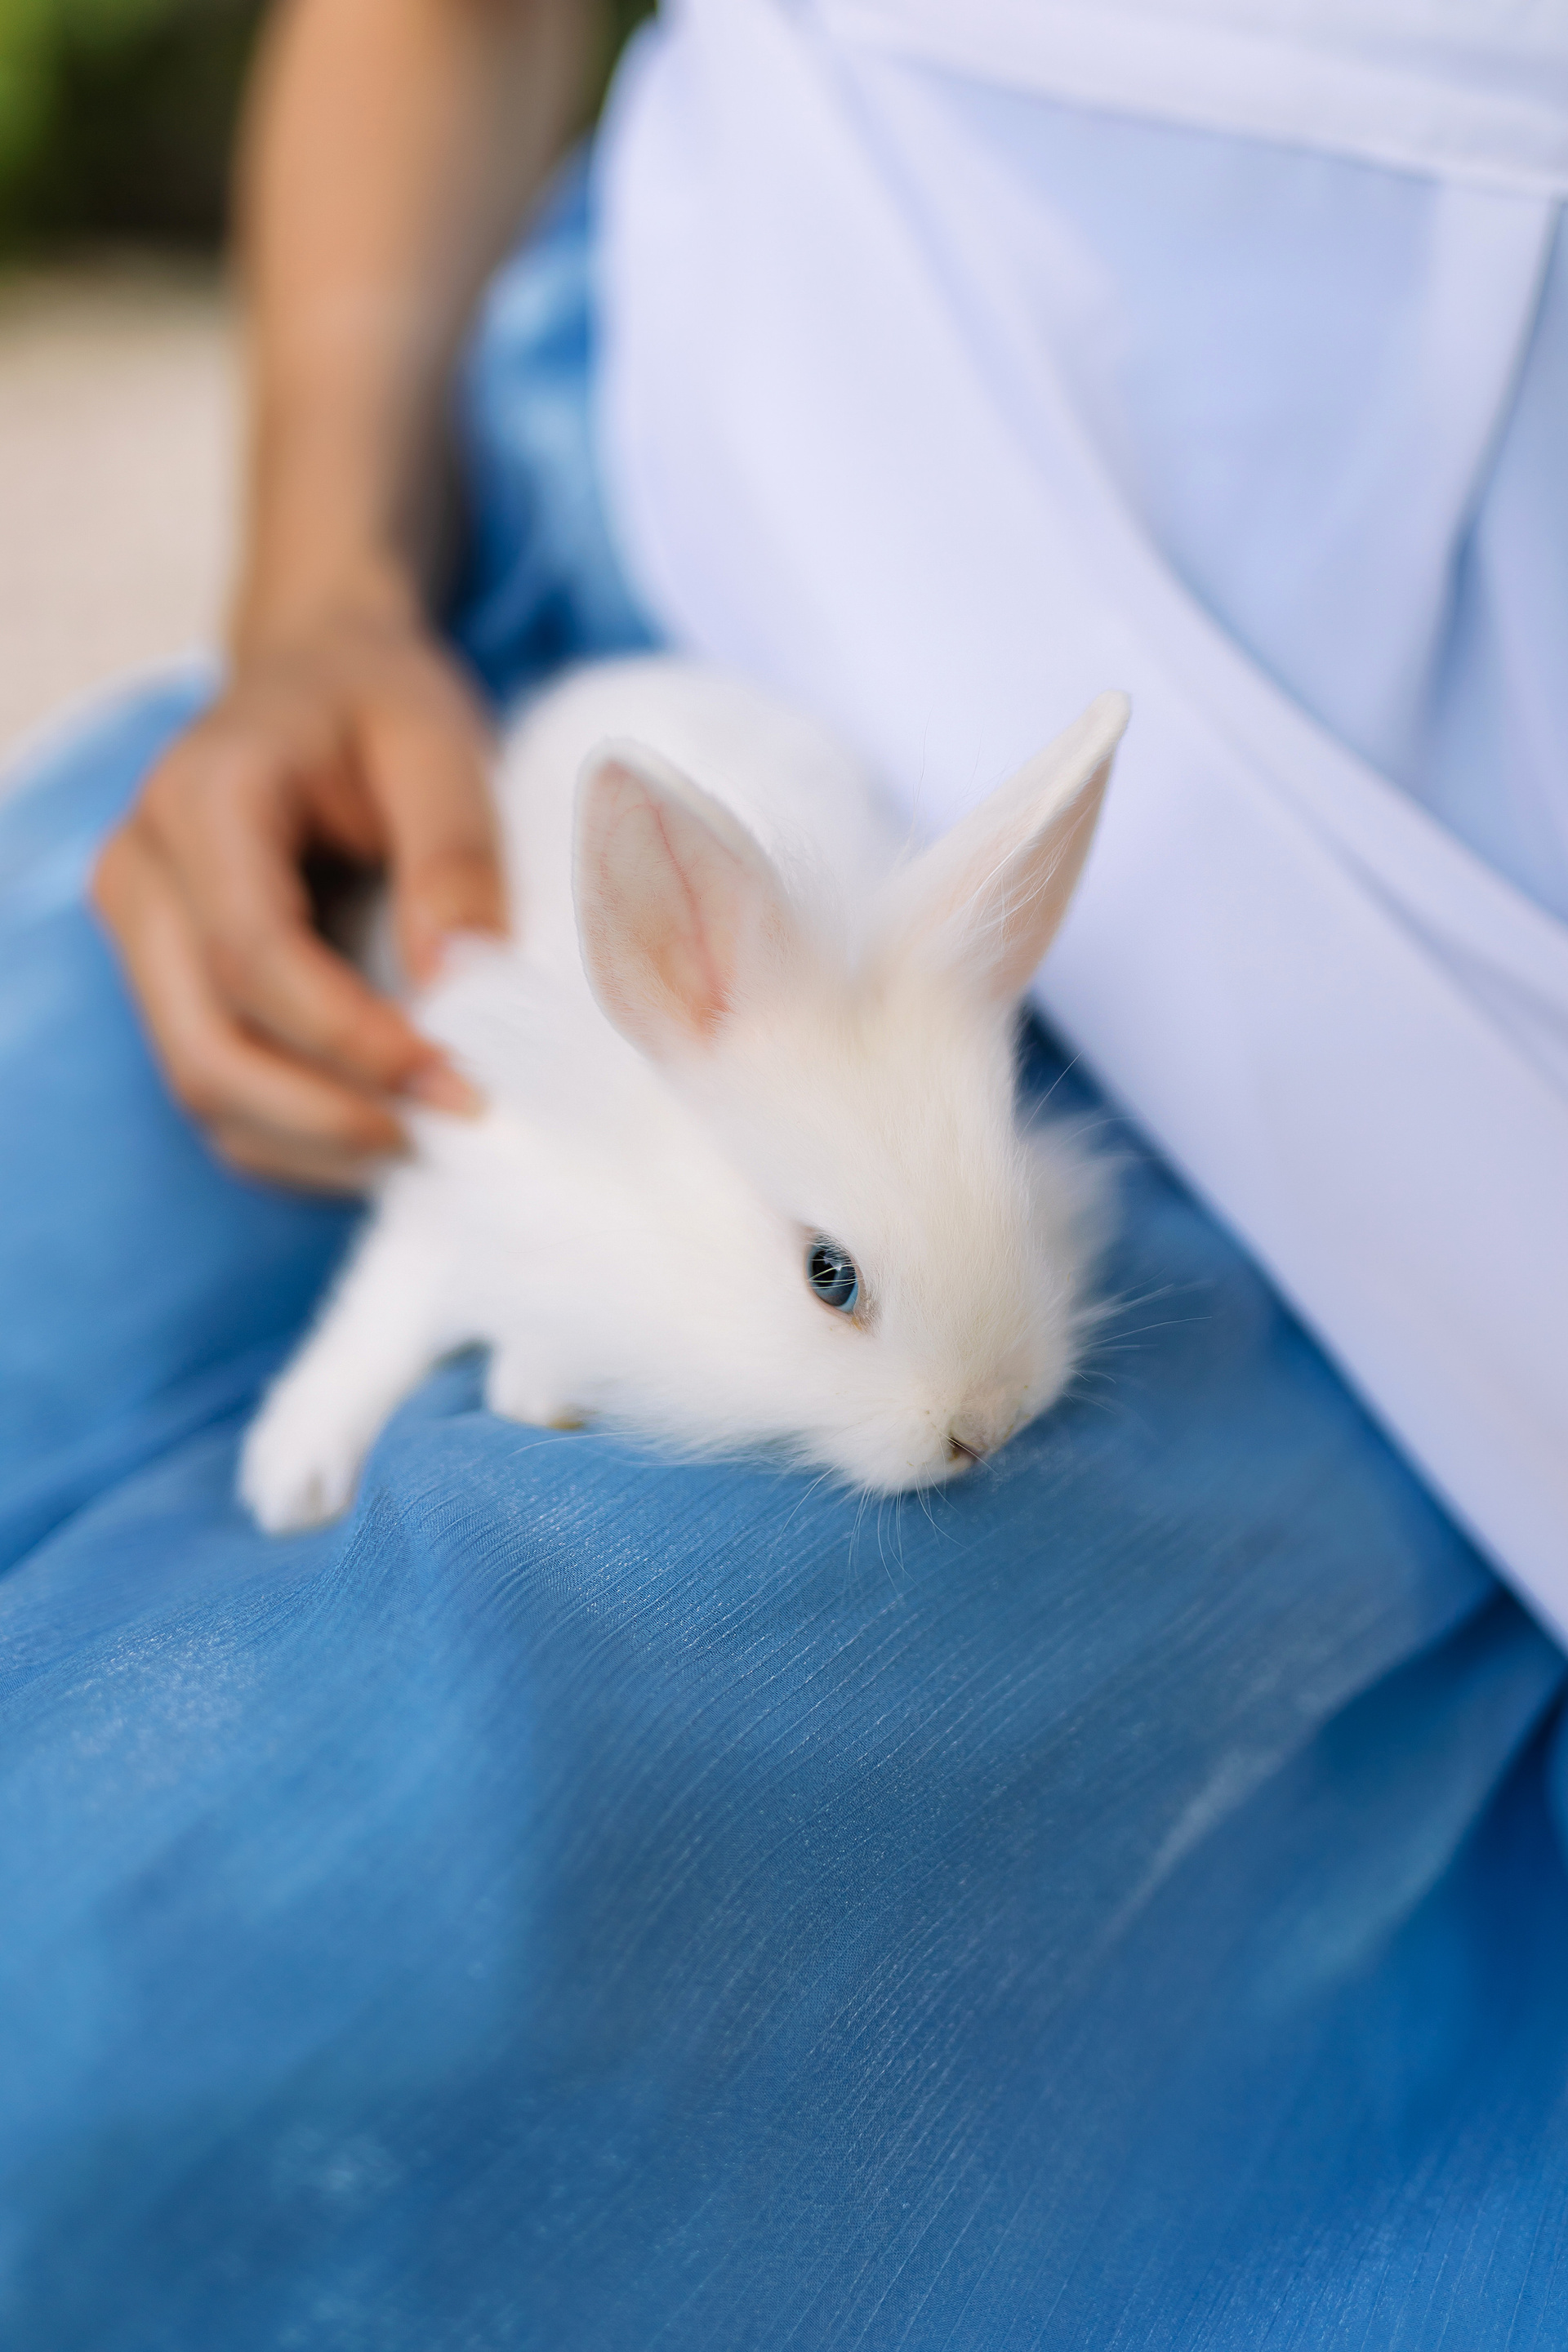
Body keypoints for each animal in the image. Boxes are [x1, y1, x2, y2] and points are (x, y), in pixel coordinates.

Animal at [240, 657, 1130, 1533]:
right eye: (828, 1274)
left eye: (1024, 1208)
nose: (987, 1428)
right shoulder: (467, 1160)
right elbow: (385, 1310)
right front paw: (291, 1481)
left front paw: (533, 1384)